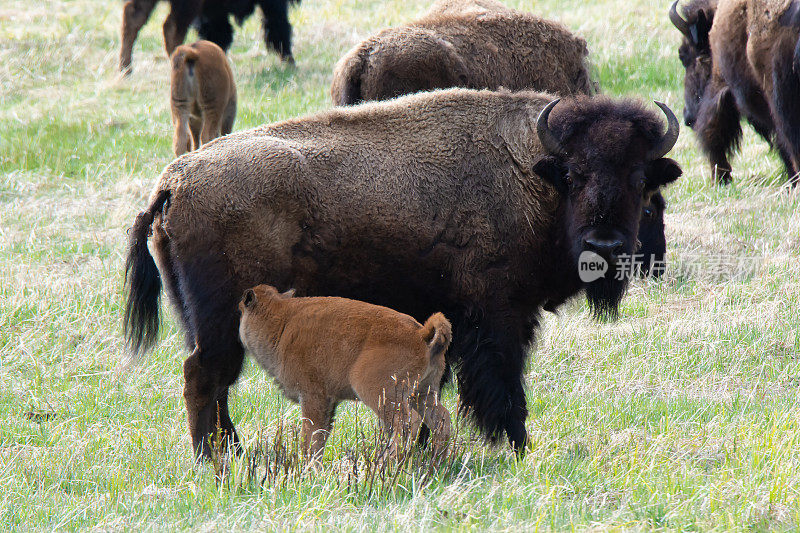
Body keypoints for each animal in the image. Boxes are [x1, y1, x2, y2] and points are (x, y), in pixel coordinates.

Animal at [238, 284, 454, 460]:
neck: (281, 320)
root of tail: (422, 333)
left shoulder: (312, 396)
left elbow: (311, 434)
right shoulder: (329, 401)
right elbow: (321, 435)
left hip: (383, 393)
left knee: (405, 425)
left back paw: (384, 463)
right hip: (423, 393)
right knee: (441, 421)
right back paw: (436, 464)